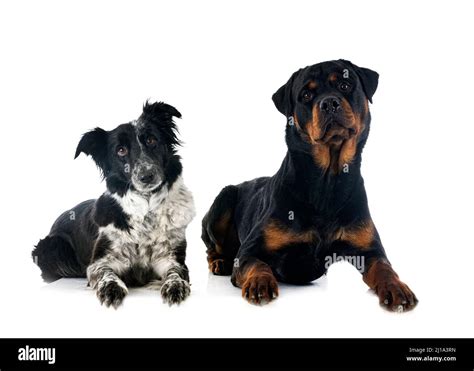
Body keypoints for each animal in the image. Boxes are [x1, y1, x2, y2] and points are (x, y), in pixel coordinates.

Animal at [32, 101, 194, 308]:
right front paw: (111, 288)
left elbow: (176, 272)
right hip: (52, 248)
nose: (146, 176)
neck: (146, 209)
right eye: (121, 150)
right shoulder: (99, 261)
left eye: (151, 140)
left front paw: (175, 286)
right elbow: (105, 273)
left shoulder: (171, 257)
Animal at [202, 59, 416, 312]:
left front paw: (397, 287)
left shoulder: (369, 250)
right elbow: (257, 264)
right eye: (305, 95)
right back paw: (219, 262)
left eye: (345, 85)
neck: (327, 182)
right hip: (222, 200)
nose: (329, 103)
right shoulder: (249, 251)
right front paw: (259, 282)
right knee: (211, 247)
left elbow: (384, 267)